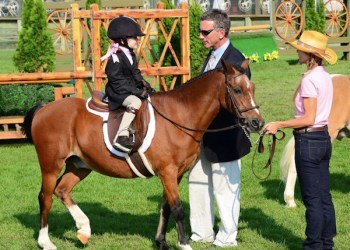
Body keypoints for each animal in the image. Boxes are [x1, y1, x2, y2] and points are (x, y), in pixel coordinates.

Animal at [21, 60, 262, 250]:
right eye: (237, 90)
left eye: (252, 88)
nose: (257, 123)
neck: (180, 116)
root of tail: (44, 109)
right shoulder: (167, 172)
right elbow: (177, 208)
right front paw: (184, 244)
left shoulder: (175, 174)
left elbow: (166, 207)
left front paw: (161, 242)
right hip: (51, 165)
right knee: (45, 197)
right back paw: (46, 242)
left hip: (79, 166)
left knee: (62, 190)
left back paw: (83, 229)